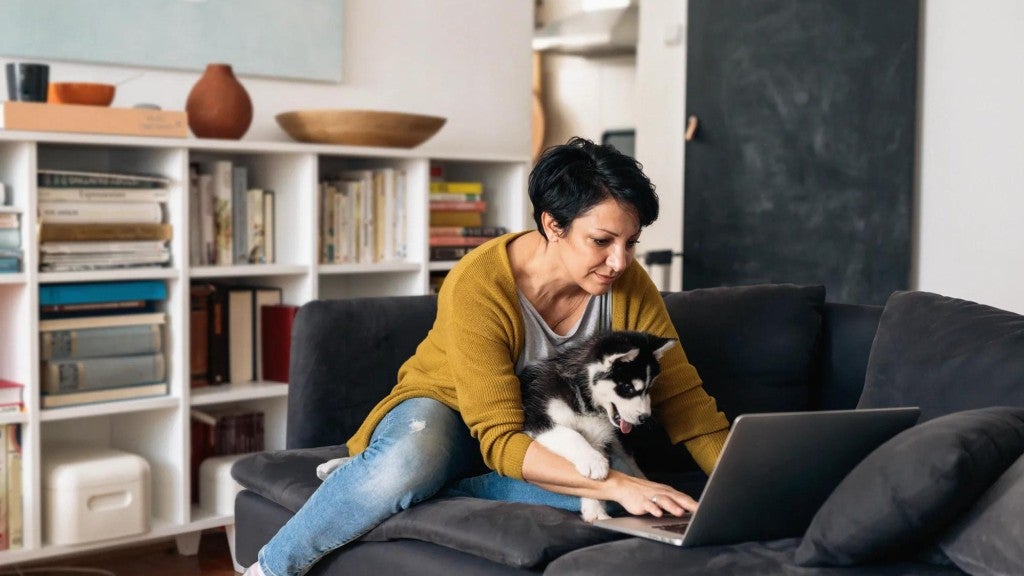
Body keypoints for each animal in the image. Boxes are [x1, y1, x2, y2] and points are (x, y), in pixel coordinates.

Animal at [520, 327, 679, 520]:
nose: (645, 417)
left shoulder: (597, 437)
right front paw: (593, 461)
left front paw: (595, 510)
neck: (583, 396)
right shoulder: (537, 418)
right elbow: (571, 434)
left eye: (648, 389)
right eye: (627, 388)